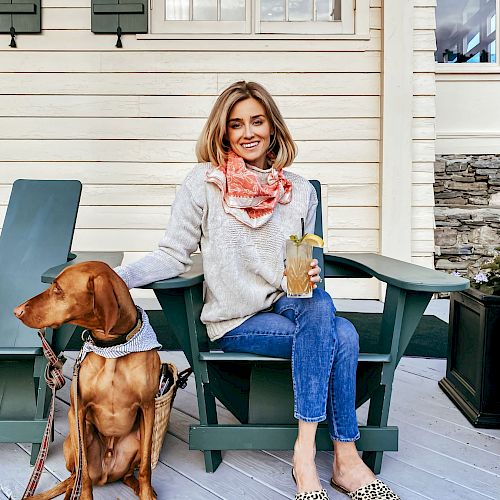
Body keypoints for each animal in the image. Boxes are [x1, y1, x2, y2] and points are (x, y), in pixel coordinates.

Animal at [14, 262, 160, 500]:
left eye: (58, 289)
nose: (16, 311)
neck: (112, 348)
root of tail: (107, 474)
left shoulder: (148, 408)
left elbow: (147, 467)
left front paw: (147, 493)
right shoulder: (78, 410)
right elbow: (84, 480)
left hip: (137, 439)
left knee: (128, 474)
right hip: (75, 437)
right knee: (75, 477)